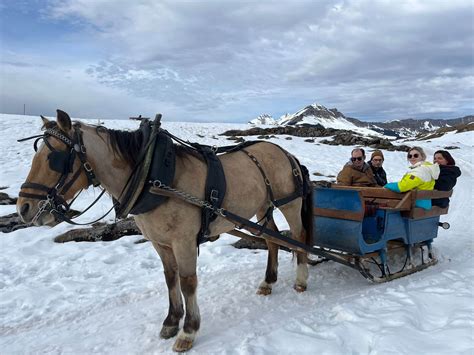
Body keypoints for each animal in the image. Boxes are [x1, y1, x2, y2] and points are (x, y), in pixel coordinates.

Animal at [17, 110, 312, 354]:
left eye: (54, 159)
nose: (24, 208)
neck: (152, 176)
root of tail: (286, 153)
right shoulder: (160, 242)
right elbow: (170, 278)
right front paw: (171, 322)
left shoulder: (184, 241)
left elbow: (188, 282)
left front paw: (188, 332)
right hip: (263, 207)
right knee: (272, 240)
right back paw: (268, 282)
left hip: (290, 203)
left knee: (298, 239)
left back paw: (301, 279)